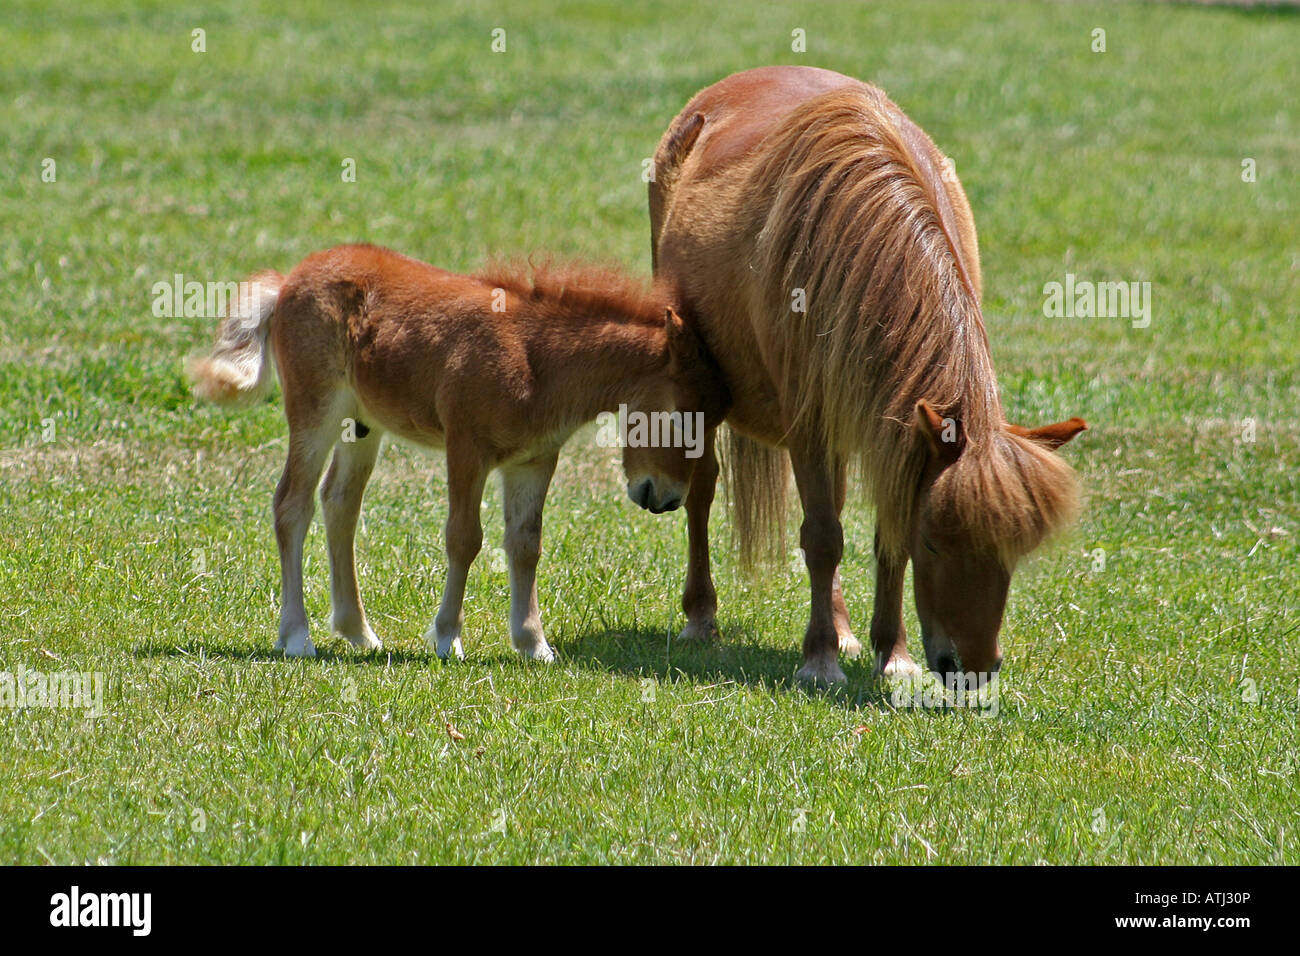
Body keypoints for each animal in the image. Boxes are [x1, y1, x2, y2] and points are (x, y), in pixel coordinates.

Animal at [189, 243, 729, 660]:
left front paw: (534, 645)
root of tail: (286, 283)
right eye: (681, 416)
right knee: (292, 505)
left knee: (339, 502)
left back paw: (359, 633)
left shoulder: (534, 460)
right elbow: (464, 538)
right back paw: (297, 637)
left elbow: (525, 543)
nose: (664, 498)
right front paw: (448, 638)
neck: (536, 358)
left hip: (361, 426)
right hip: (314, 411)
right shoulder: (466, 447)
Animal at [639, 66, 1087, 687]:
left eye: (1013, 552)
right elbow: (824, 538)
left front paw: (890, 653)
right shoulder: (808, 421)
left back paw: (844, 629)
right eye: (935, 543)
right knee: (704, 490)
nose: (973, 670)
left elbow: (878, 535)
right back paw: (701, 617)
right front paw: (819, 660)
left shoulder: (888, 430)